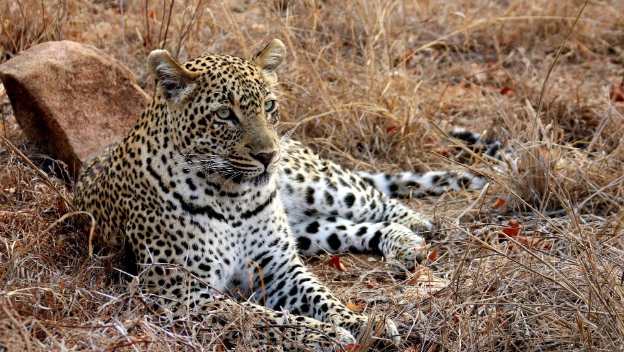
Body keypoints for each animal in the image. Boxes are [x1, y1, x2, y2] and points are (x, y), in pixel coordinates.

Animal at [73, 39, 492, 352]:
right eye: (224, 114)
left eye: (269, 106)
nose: (268, 155)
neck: (230, 197)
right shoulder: (180, 289)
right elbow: (257, 316)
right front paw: (328, 334)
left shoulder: (277, 265)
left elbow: (322, 296)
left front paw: (361, 321)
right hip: (306, 229)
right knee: (351, 228)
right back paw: (405, 244)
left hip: (319, 186)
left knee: (376, 199)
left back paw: (421, 230)